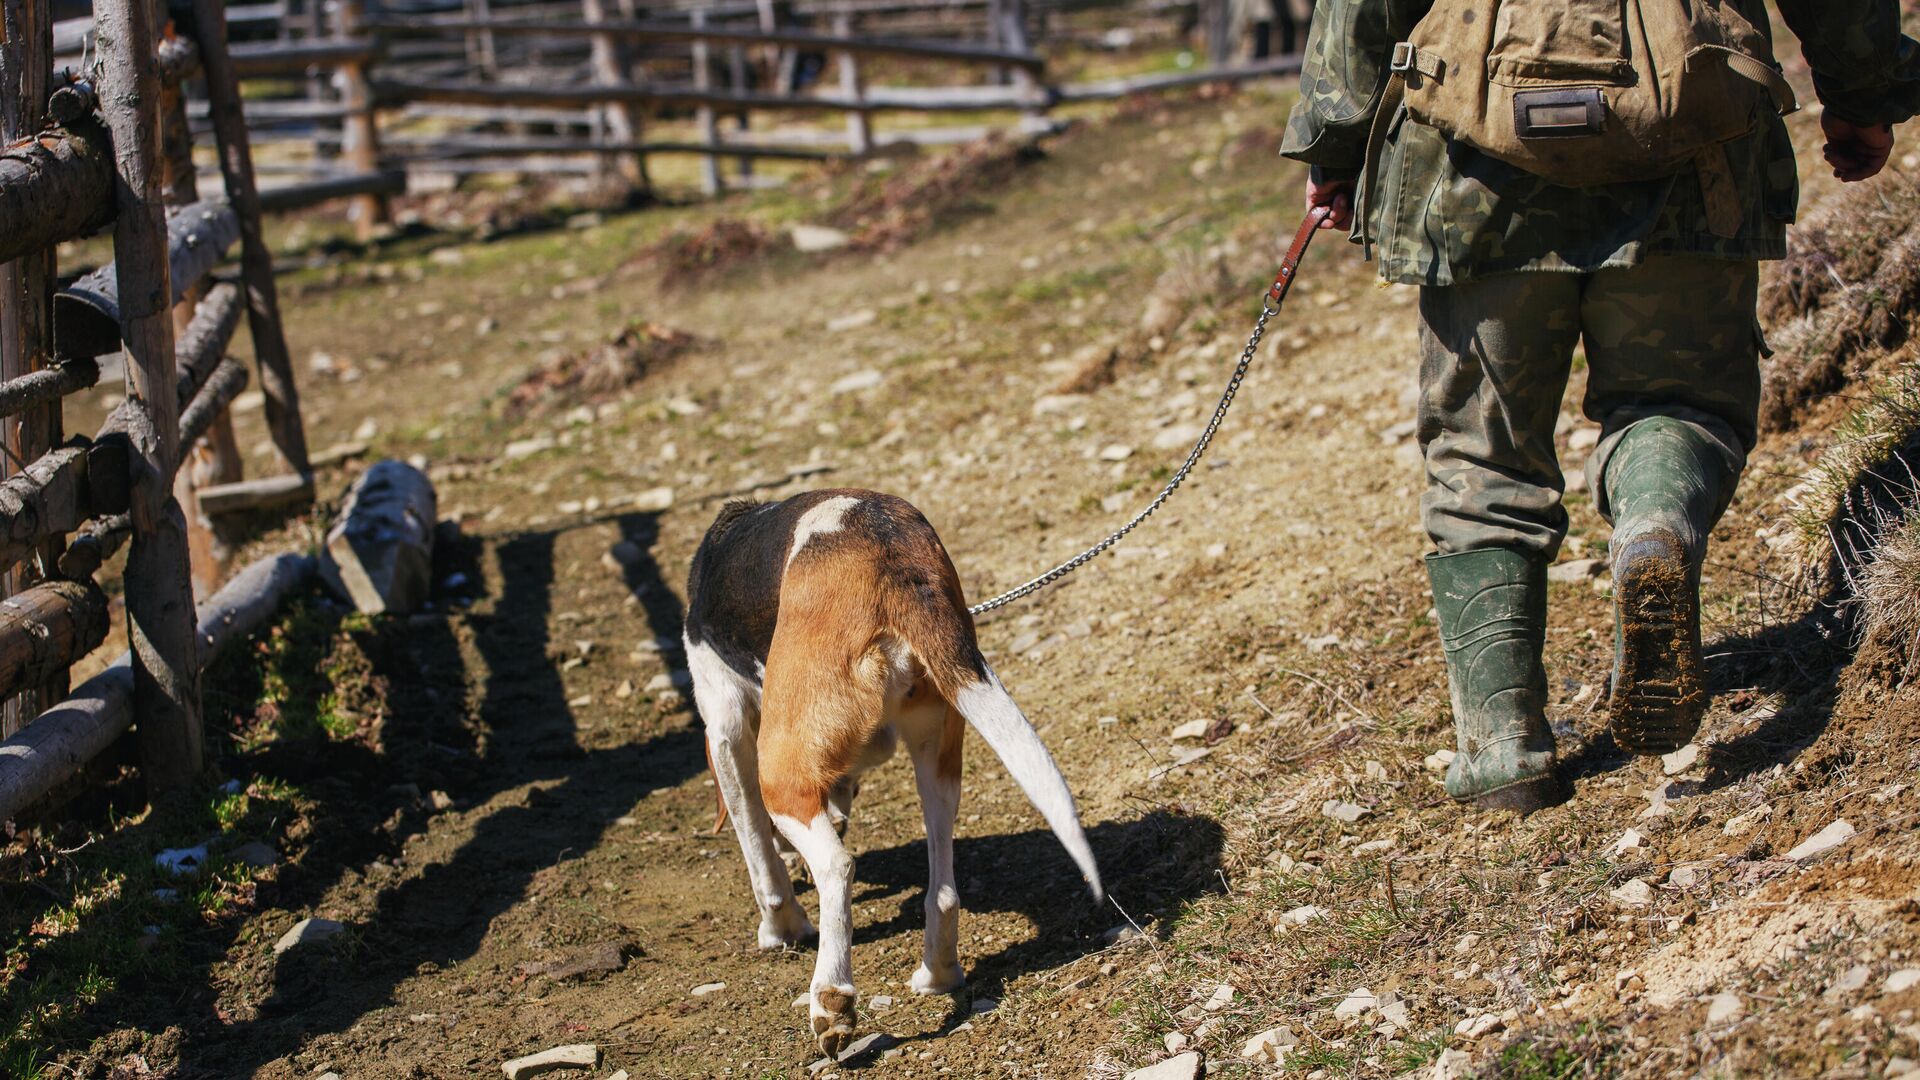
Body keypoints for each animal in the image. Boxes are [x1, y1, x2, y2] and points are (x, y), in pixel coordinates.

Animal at [683, 486, 1105, 1053]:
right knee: (943, 891)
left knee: (836, 866)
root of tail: (893, 554)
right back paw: (938, 974)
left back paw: (832, 1001)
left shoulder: (725, 727)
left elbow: (759, 855)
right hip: (937, 750)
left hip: (780, 767)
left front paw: (780, 929)